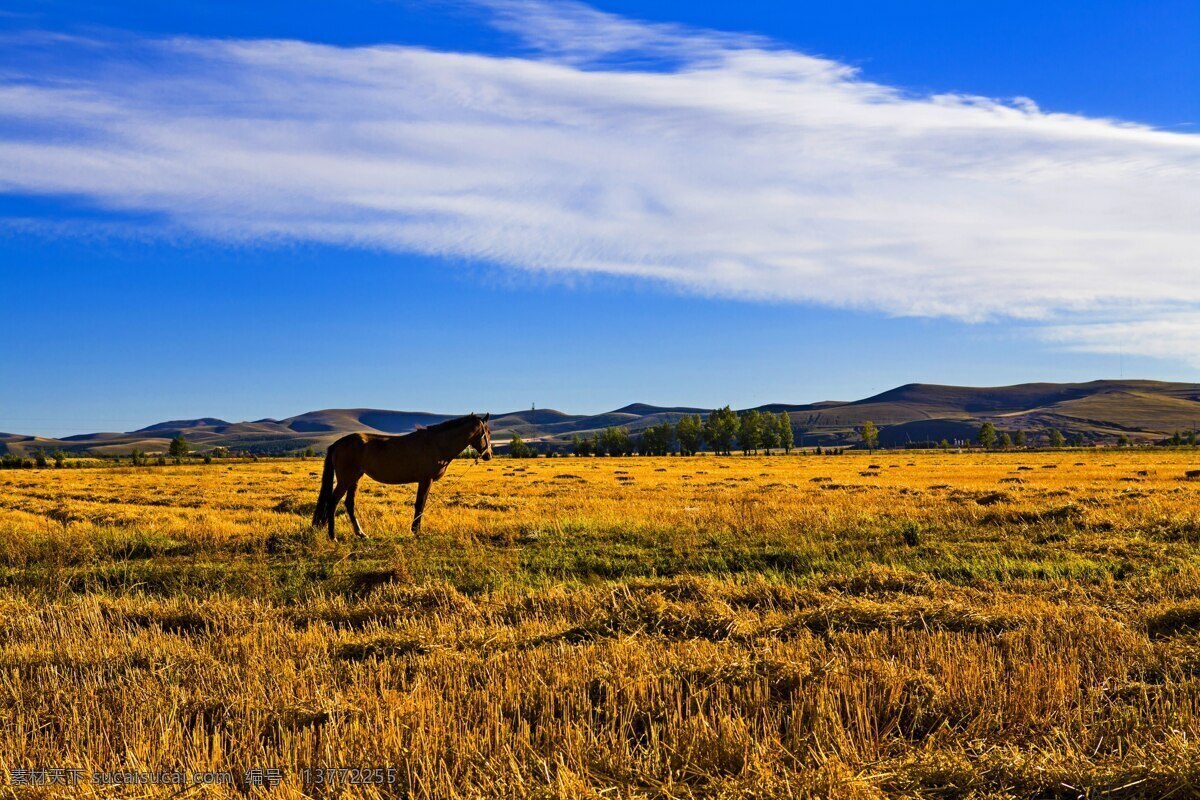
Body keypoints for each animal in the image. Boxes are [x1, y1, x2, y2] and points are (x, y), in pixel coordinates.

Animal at [314, 412, 496, 537]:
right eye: (487, 432)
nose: (489, 455)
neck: (437, 443)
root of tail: (338, 443)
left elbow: (421, 505)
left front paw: (416, 529)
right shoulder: (425, 480)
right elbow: (420, 505)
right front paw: (416, 531)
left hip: (355, 478)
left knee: (349, 504)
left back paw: (361, 534)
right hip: (346, 479)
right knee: (333, 502)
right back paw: (332, 536)